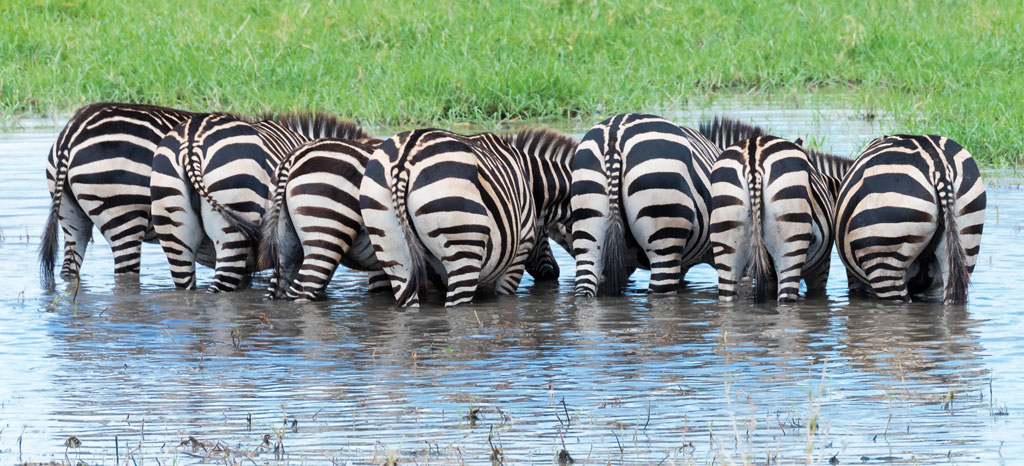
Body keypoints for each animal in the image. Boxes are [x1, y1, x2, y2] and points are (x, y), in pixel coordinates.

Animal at [359, 127, 576, 307]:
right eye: (545, 233)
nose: (554, 274)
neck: (530, 180)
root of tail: (404, 158)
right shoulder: (516, 259)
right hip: (463, 249)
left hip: (394, 253)